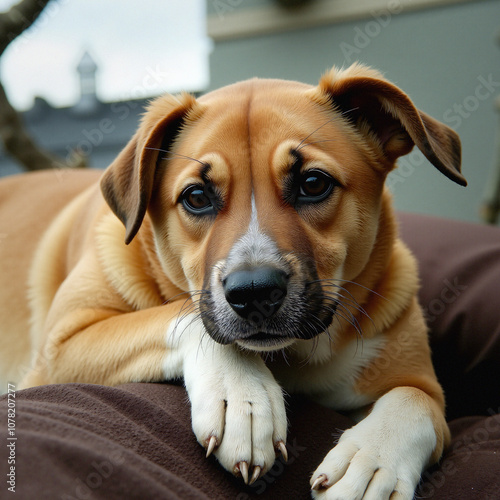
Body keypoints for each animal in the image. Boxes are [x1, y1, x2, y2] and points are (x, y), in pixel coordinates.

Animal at [1, 64, 466, 498]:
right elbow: (181, 318)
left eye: (313, 183)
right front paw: (243, 400)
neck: (291, 358)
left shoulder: (425, 388)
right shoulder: (59, 348)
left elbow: (414, 400)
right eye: (196, 197)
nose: (254, 293)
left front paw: (372, 464)